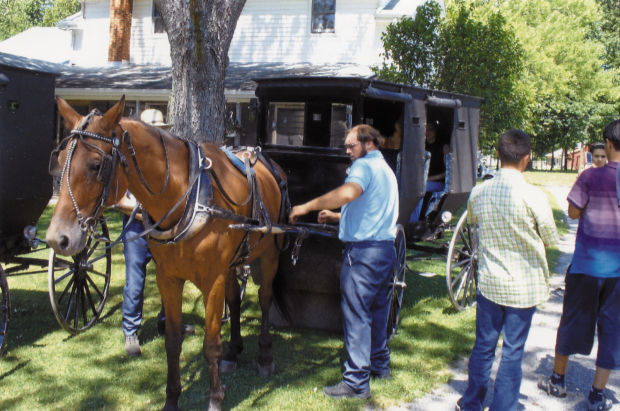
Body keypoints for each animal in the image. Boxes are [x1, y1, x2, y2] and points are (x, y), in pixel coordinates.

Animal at [46, 98, 286, 410]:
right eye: (60, 160)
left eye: (96, 165)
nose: (57, 238)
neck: (188, 196)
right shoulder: (168, 278)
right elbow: (172, 341)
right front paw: (172, 398)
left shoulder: (213, 280)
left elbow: (211, 344)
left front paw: (215, 399)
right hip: (234, 261)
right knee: (235, 300)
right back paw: (233, 352)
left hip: (269, 254)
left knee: (265, 296)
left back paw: (265, 355)